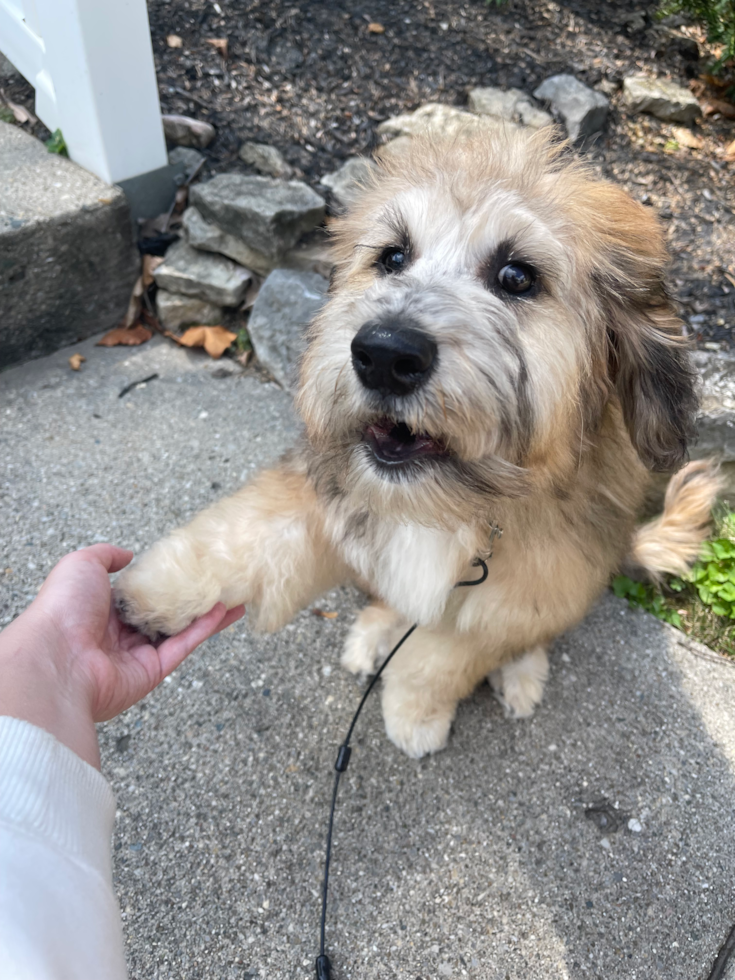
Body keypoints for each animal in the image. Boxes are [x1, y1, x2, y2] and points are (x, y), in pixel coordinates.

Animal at [115, 128, 720, 756]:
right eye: (393, 257)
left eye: (518, 277)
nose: (382, 354)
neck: (455, 505)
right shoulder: (325, 493)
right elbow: (245, 534)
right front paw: (152, 594)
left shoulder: (510, 597)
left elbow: (444, 658)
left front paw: (414, 712)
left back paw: (519, 671)